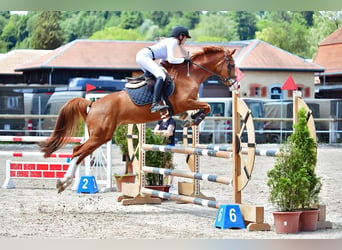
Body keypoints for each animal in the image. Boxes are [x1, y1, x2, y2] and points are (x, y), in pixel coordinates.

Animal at [39, 46, 235, 192]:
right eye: (231, 65)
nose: (234, 83)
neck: (189, 76)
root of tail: (92, 105)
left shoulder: (183, 106)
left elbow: (196, 110)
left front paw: (189, 119)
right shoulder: (184, 102)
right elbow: (207, 106)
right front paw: (195, 118)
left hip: (100, 136)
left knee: (80, 153)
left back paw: (65, 182)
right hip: (100, 135)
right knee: (77, 151)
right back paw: (64, 182)